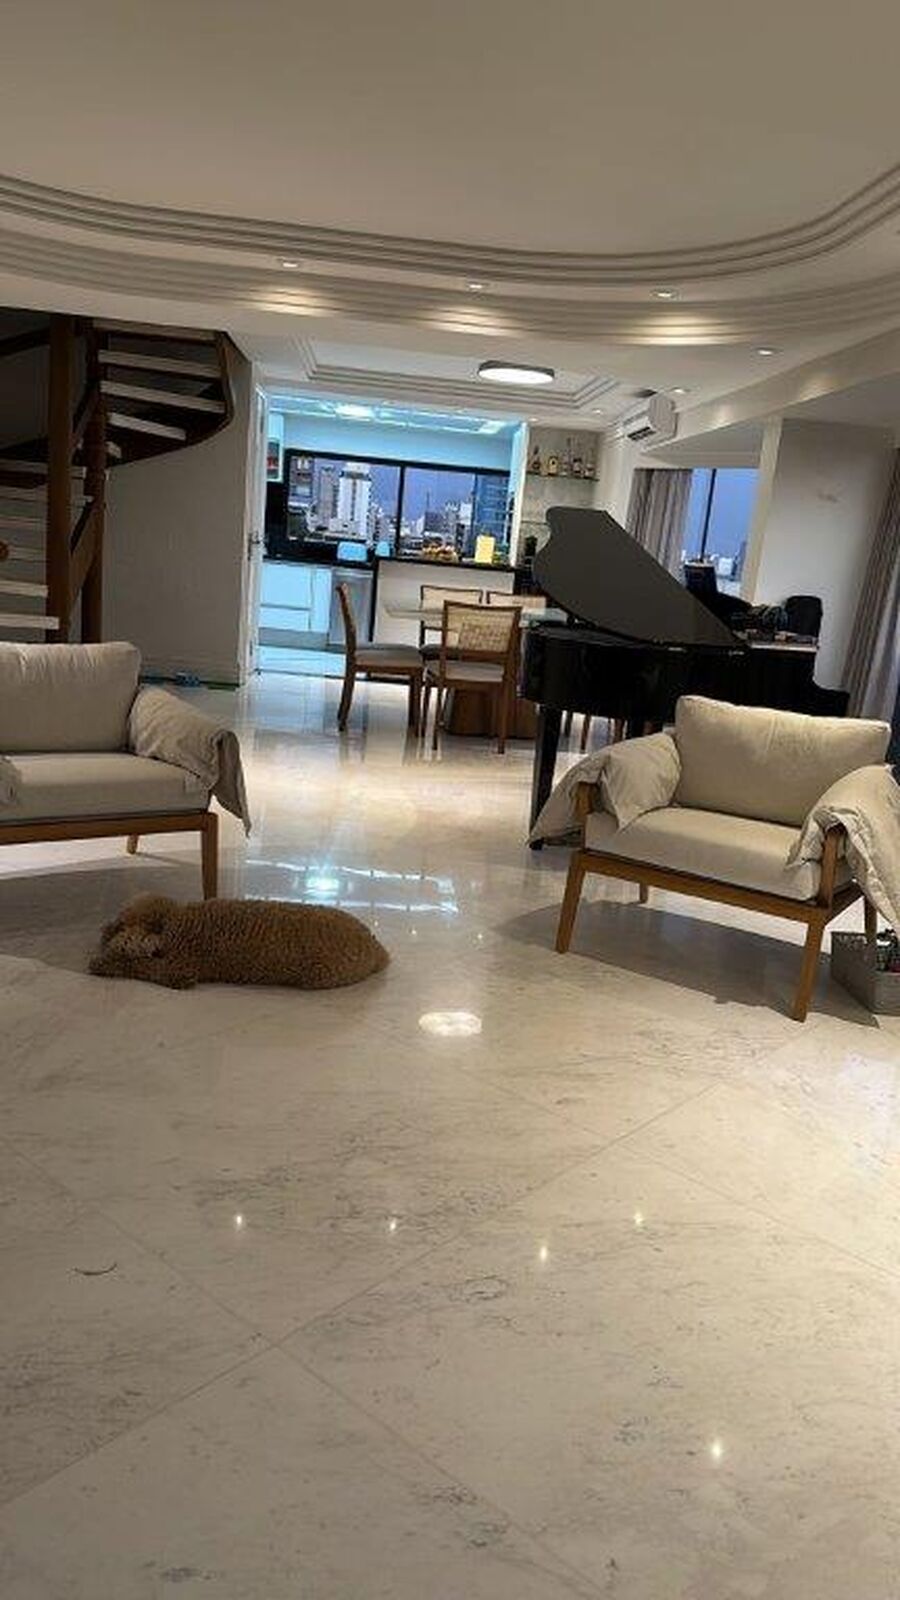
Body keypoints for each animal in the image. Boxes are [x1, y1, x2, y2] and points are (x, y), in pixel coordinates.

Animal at [90, 894, 389, 990]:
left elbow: (139, 968)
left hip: (320, 977)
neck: (175, 924)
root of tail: (377, 949)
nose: (108, 931)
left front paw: (104, 963)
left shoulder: (178, 970)